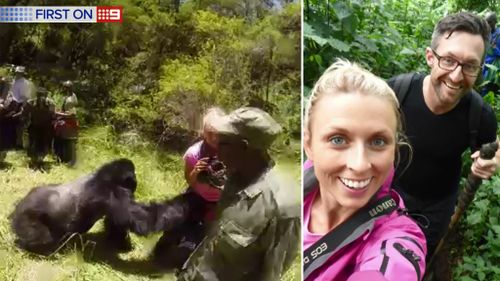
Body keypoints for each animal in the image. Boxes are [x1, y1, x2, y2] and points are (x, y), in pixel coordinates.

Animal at [10, 158, 149, 254]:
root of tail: (18, 208)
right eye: (132, 182)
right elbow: (132, 220)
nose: (134, 189)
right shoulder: (108, 192)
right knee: (42, 238)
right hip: (25, 217)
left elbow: (116, 224)